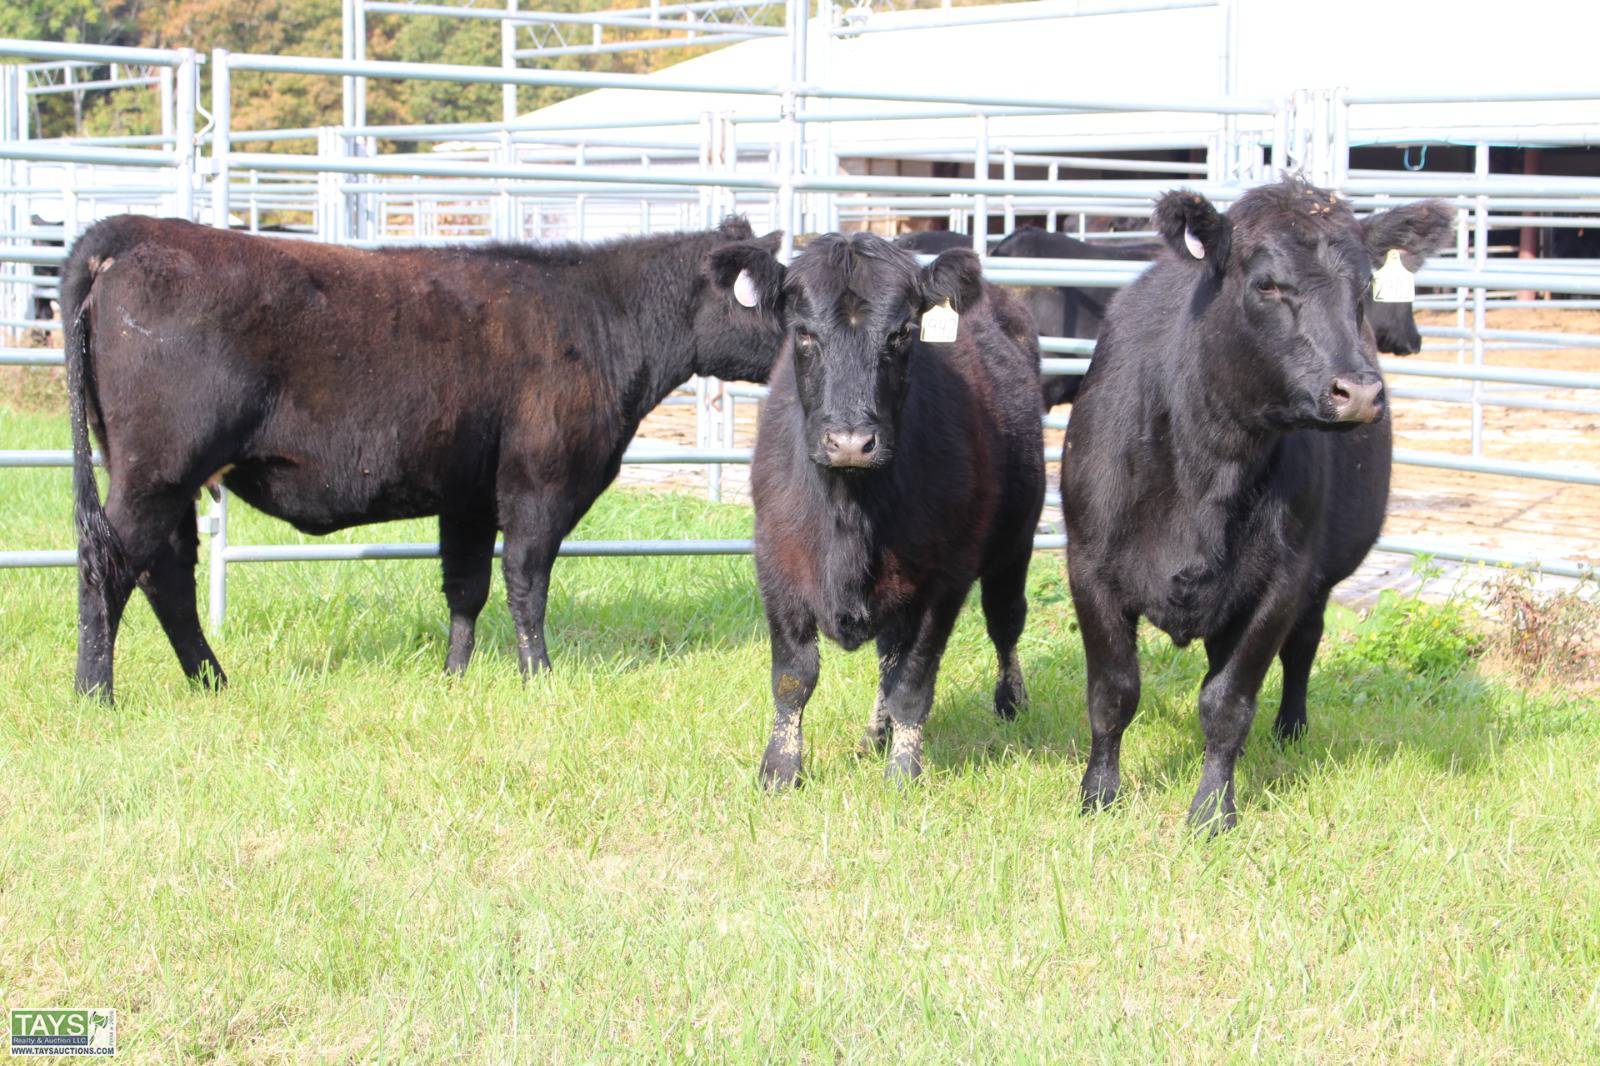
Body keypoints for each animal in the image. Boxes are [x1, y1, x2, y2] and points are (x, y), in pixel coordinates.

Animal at [61, 215, 785, 702]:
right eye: (776, 295)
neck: (604, 320)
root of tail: (133, 230)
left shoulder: (468, 494)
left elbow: (467, 585)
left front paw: (454, 677)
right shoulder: (541, 481)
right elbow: (527, 580)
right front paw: (539, 677)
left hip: (155, 474)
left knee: (164, 574)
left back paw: (212, 681)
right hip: (158, 470)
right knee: (109, 563)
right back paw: (96, 693)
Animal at [734, 233, 1045, 787]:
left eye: (902, 334)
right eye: (804, 333)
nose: (851, 443)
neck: (849, 510)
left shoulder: (944, 581)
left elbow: (912, 683)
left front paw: (904, 771)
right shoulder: (776, 561)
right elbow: (794, 676)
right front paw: (780, 770)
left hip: (1016, 542)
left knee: (1005, 621)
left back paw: (1011, 700)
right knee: (886, 656)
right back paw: (873, 736)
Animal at [1061, 178, 1453, 831]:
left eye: (1365, 289)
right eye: (1267, 284)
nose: (1359, 392)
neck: (1208, 464)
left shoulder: (1281, 582)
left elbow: (1228, 703)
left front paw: (1212, 811)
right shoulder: (1089, 564)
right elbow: (1112, 692)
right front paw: (1098, 797)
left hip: (1316, 577)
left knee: (1304, 645)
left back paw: (1290, 729)